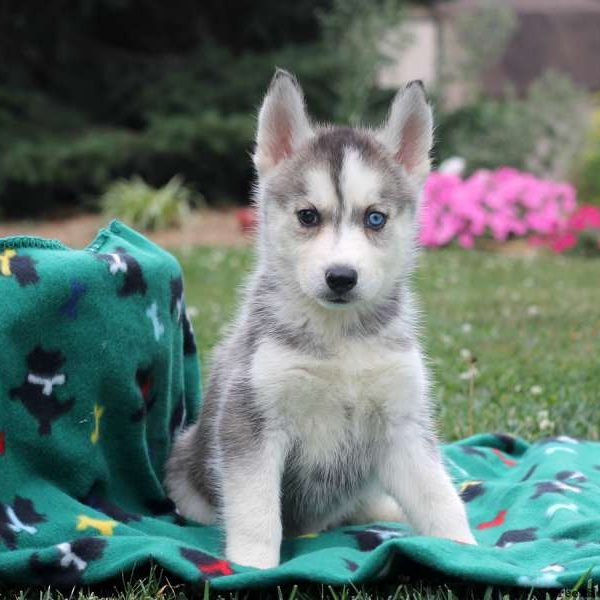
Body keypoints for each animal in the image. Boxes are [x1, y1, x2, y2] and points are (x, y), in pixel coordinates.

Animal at [166, 69, 476, 568]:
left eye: (375, 218)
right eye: (308, 216)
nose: (341, 277)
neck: (341, 340)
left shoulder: (403, 426)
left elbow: (437, 495)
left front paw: (466, 551)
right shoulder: (251, 421)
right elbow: (256, 510)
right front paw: (252, 566)